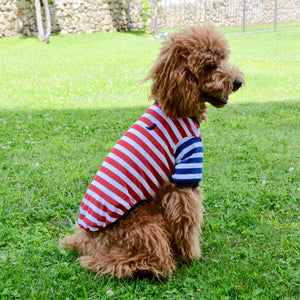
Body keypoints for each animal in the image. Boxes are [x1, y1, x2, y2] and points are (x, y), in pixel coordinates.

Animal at [61, 25, 244, 278]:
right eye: (209, 66)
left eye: (224, 59)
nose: (238, 81)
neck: (177, 108)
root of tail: (85, 241)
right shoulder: (185, 175)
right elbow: (188, 220)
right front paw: (190, 255)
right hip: (143, 221)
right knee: (133, 260)